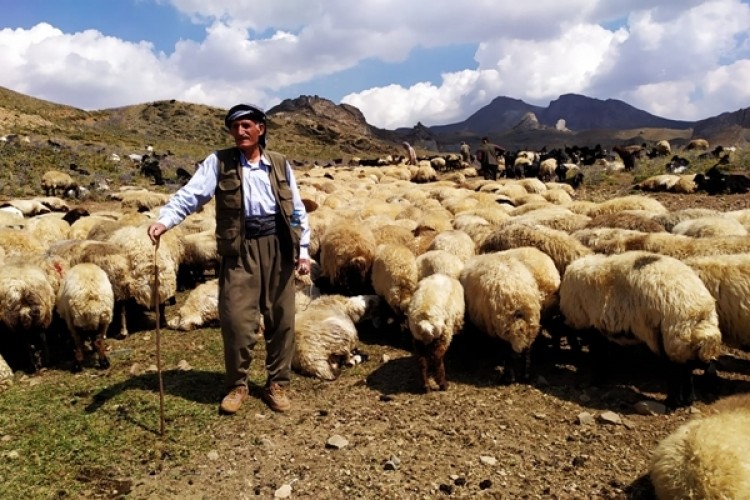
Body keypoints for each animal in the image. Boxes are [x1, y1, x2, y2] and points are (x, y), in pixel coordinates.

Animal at [560, 252, 724, 408]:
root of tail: (700, 312)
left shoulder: (593, 324)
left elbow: (598, 354)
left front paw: (597, 379)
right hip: (681, 342)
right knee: (686, 369)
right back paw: (688, 399)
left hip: (670, 337)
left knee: (675, 371)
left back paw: (673, 402)